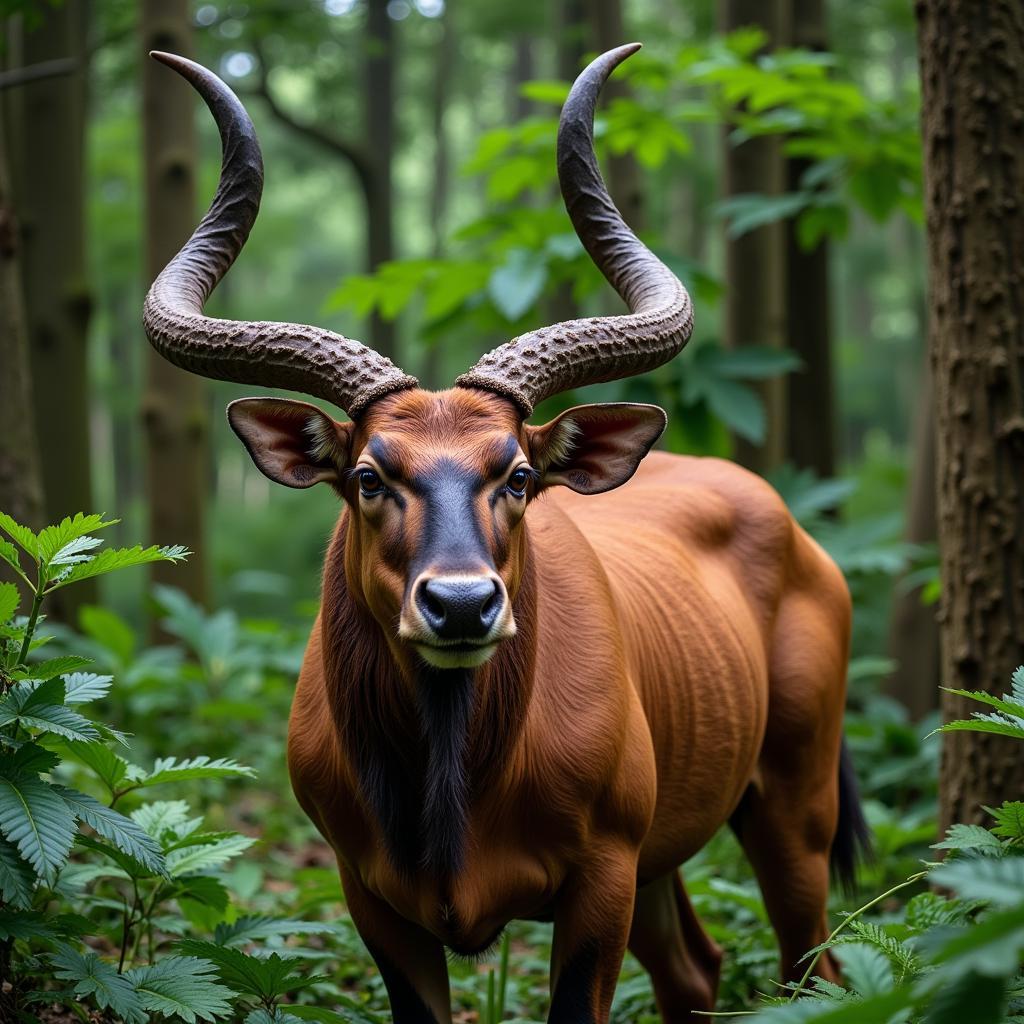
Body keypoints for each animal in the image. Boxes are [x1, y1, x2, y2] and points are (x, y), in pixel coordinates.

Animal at [144, 44, 864, 1019]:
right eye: (369, 477)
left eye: (517, 475)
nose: (459, 606)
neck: (455, 778)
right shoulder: (374, 899)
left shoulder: (601, 878)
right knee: (694, 968)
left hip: (793, 807)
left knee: (813, 967)